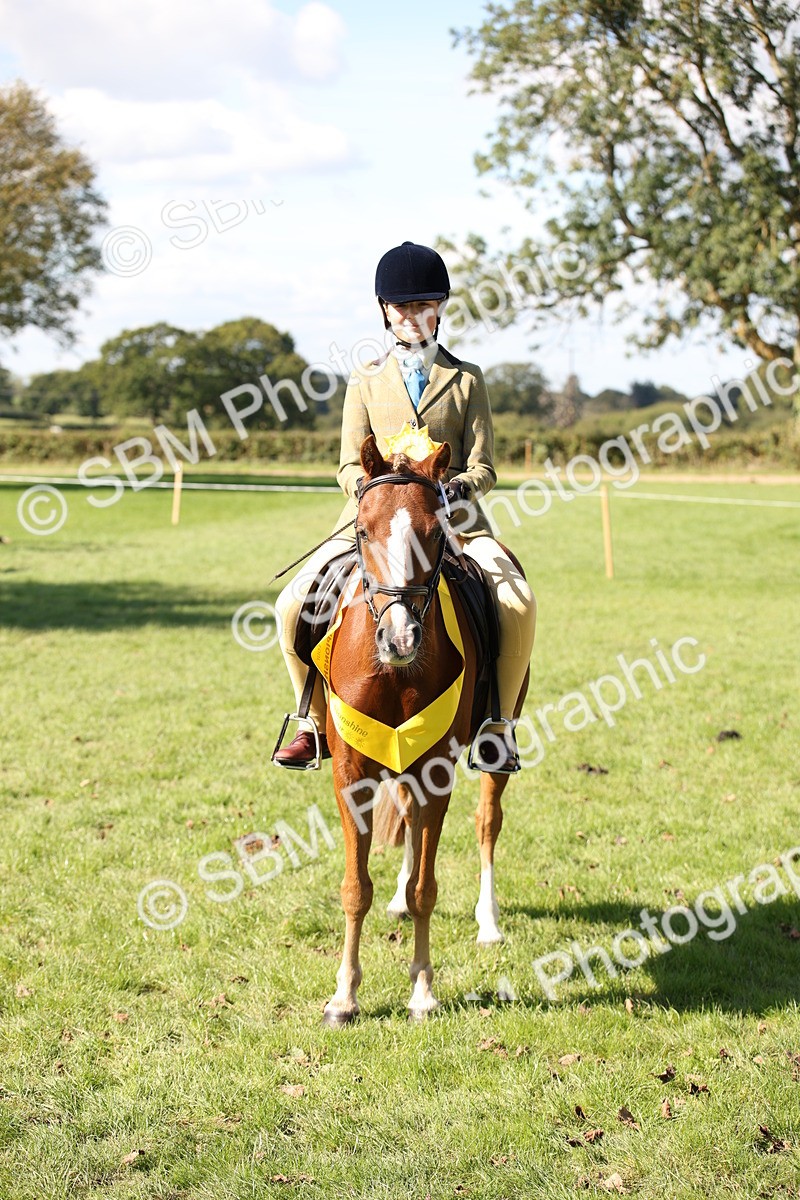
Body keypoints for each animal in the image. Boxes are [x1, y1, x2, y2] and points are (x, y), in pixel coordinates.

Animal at [318, 434, 529, 1025]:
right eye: (363, 531)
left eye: (436, 534)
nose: (401, 638)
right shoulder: (352, 773)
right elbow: (355, 888)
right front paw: (344, 997)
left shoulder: (435, 770)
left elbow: (426, 889)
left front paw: (422, 991)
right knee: (410, 825)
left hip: (492, 748)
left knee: (486, 823)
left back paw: (489, 922)